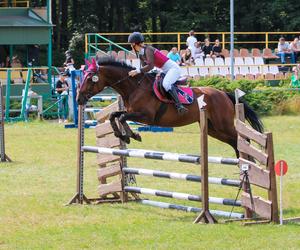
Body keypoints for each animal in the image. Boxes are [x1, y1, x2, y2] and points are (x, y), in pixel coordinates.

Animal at [77, 57, 262, 157]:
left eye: (90, 79)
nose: (79, 99)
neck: (134, 87)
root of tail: (224, 94)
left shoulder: (146, 116)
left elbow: (122, 117)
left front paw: (132, 135)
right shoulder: (131, 111)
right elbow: (114, 115)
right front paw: (122, 135)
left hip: (223, 125)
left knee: (242, 139)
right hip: (213, 129)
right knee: (234, 141)